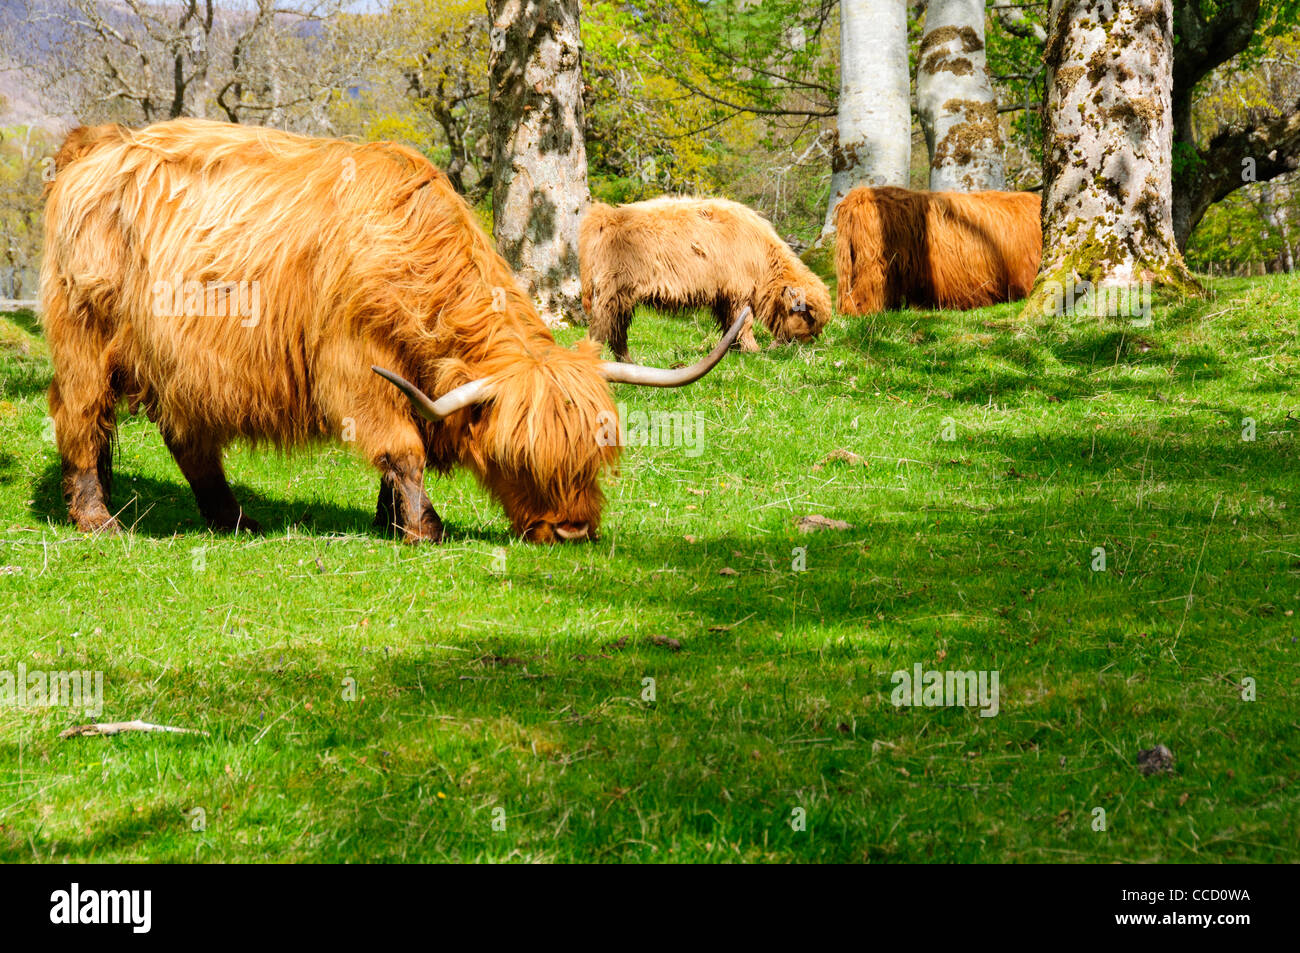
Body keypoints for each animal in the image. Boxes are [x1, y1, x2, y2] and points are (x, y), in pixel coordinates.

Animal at [41, 119, 746, 544]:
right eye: (517, 457)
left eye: (597, 452)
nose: (571, 531)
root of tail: (98, 143)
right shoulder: (353, 367)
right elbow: (402, 449)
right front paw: (424, 526)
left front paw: (391, 519)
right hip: (85, 335)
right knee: (81, 416)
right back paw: (98, 518)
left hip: (178, 362)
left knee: (185, 438)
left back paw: (233, 517)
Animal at [580, 196, 832, 361]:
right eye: (807, 315)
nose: (810, 342)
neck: (762, 257)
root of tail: (607, 217)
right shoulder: (739, 294)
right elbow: (745, 323)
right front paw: (752, 350)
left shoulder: (724, 296)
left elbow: (730, 325)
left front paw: (733, 350)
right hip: (611, 294)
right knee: (602, 329)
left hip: (622, 298)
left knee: (617, 331)